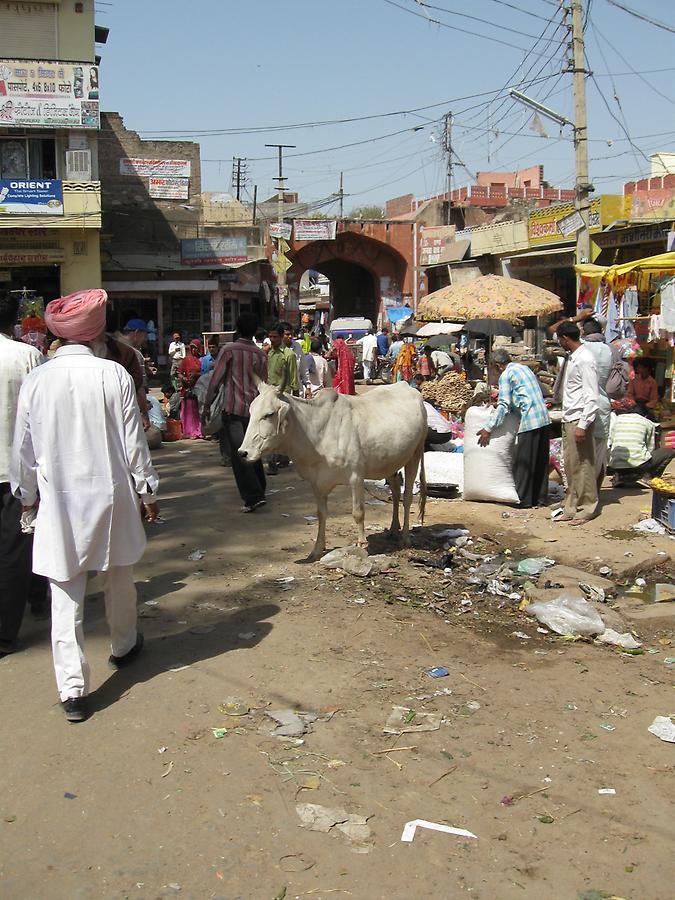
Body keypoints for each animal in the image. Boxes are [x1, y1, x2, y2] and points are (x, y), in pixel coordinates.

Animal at [240, 382, 426, 564]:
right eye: (251, 411)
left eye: (269, 414)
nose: (243, 453)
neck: (317, 434)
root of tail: (408, 387)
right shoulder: (317, 483)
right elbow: (321, 514)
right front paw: (316, 550)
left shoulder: (356, 477)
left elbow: (358, 513)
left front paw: (362, 546)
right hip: (390, 462)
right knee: (395, 491)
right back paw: (394, 528)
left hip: (415, 454)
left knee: (407, 497)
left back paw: (405, 538)